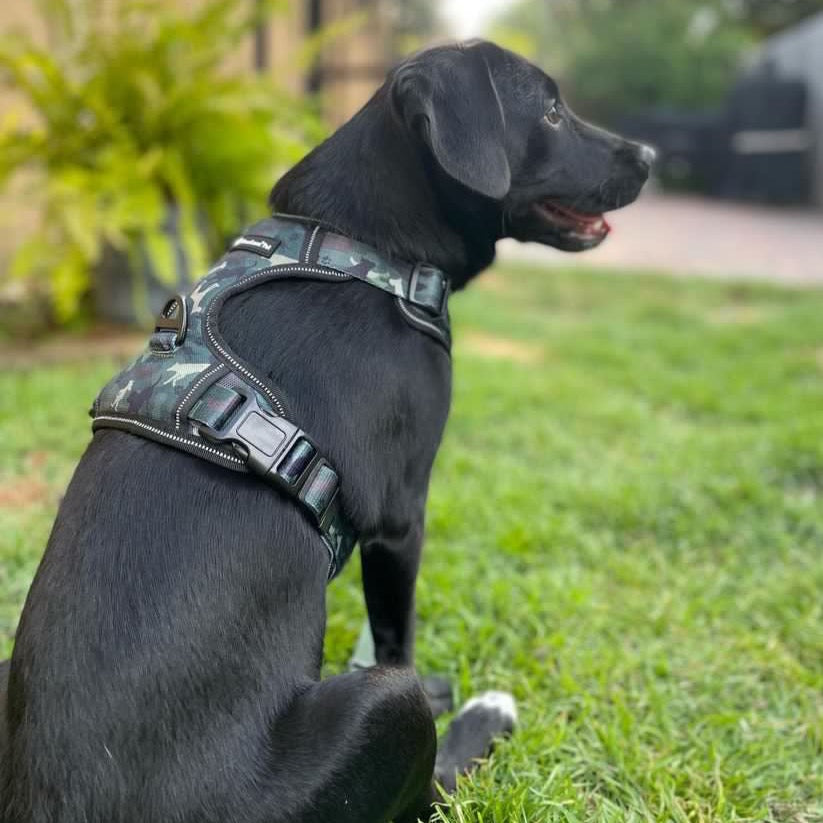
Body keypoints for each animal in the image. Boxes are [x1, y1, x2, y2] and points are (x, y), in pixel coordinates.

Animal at [3, 40, 652, 823]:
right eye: (552, 110)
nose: (650, 154)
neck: (364, 247)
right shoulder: (401, 519)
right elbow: (397, 635)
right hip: (382, 708)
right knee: (428, 782)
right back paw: (481, 716)